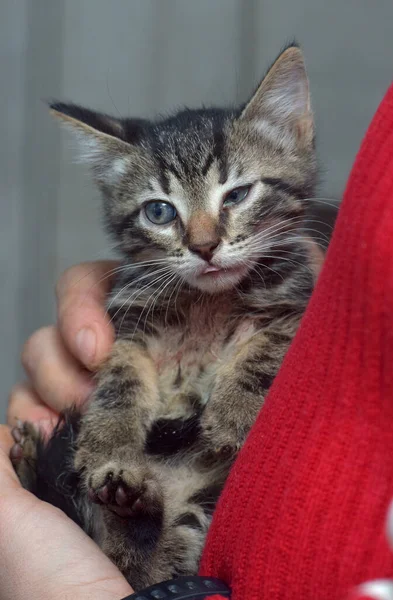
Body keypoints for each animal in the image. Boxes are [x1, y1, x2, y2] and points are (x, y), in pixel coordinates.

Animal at [12, 47, 318, 592]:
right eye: (159, 212)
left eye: (236, 195)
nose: (204, 246)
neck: (206, 304)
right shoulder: (129, 321)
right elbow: (119, 381)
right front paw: (108, 443)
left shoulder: (292, 303)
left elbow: (266, 349)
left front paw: (233, 417)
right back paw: (93, 482)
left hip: (199, 505)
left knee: (152, 560)